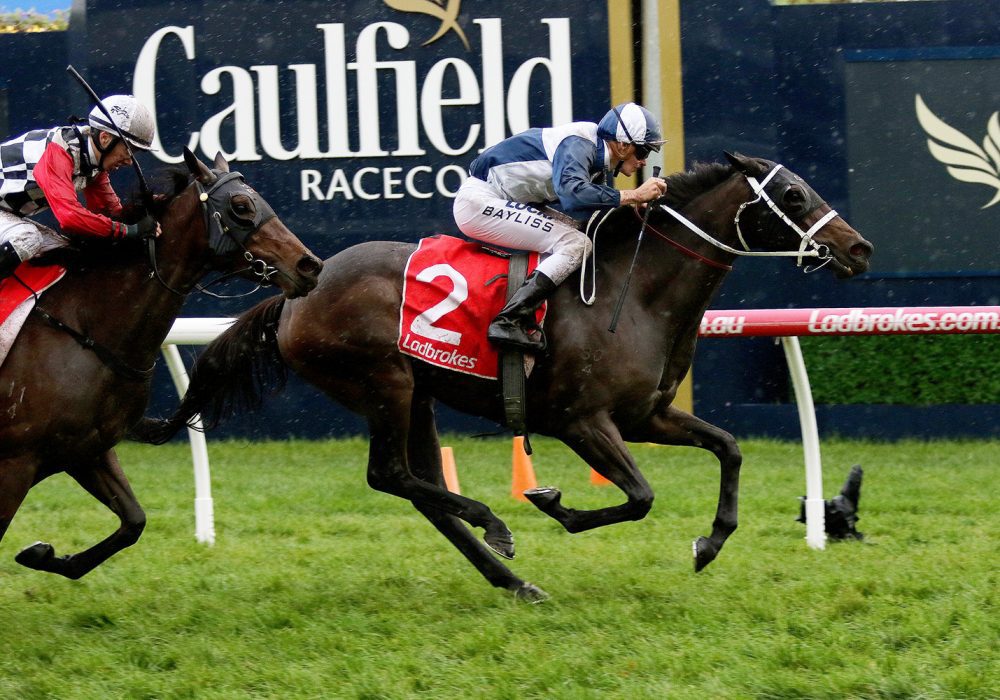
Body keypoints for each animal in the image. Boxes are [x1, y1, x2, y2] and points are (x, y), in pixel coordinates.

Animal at [0, 148, 323, 579]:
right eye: (240, 206)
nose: (310, 265)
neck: (84, 328)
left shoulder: (85, 449)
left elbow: (134, 521)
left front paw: (41, 554)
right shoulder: (14, 462)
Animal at [136, 153, 873, 601]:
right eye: (793, 193)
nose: (859, 248)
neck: (631, 295)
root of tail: (296, 291)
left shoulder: (647, 416)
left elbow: (729, 447)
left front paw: (710, 543)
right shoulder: (581, 420)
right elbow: (638, 496)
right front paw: (551, 502)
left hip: (420, 395)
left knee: (422, 490)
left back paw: (510, 579)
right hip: (385, 384)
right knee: (392, 475)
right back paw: (495, 526)